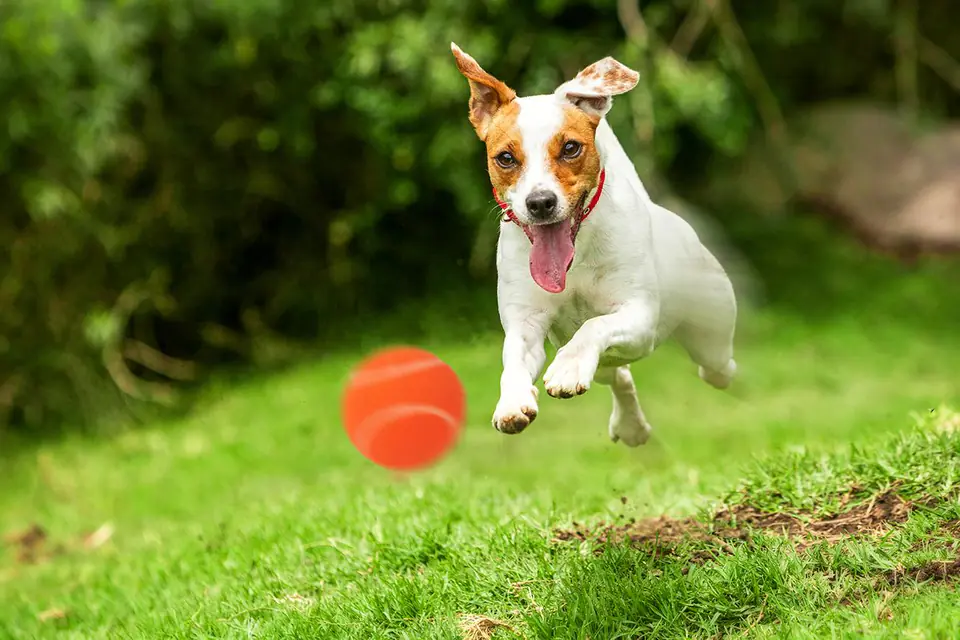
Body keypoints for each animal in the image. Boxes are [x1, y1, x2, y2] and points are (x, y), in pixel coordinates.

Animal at [450, 45, 736, 444]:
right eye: (505, 158)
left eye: (571, 148)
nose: (540, 202)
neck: (576, 258)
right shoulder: (526, 323)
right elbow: (514, 360)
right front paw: (512, 402)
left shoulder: (639, 316)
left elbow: (594, 326)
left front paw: (568, 368)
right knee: (618, 375)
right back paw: (630, 426)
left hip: (712, 331)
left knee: (717, 367)